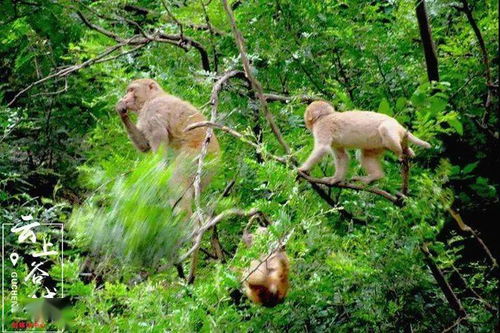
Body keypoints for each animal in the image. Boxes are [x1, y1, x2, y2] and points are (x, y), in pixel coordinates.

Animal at [117, 78, 221, 213]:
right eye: (128, 91)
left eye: (132, 90)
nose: (125, 97)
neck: (152, 98)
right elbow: (145, 145)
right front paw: (121, 112)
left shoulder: (153, 110)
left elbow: (159, 140)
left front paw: (158, 170)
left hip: (197, 157)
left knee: (177, 182)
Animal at [296, 101, 430, 184]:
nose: (306, 120)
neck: (324, 116)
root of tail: (399, 125)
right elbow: (342, 157)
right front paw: (336, 179)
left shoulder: (323, 127)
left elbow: (322, 148)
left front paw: (302, 169)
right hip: (379, 144)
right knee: (364, 155)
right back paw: (376, 175)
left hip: (392, 129)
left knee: (384, 129)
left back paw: (401, 153)